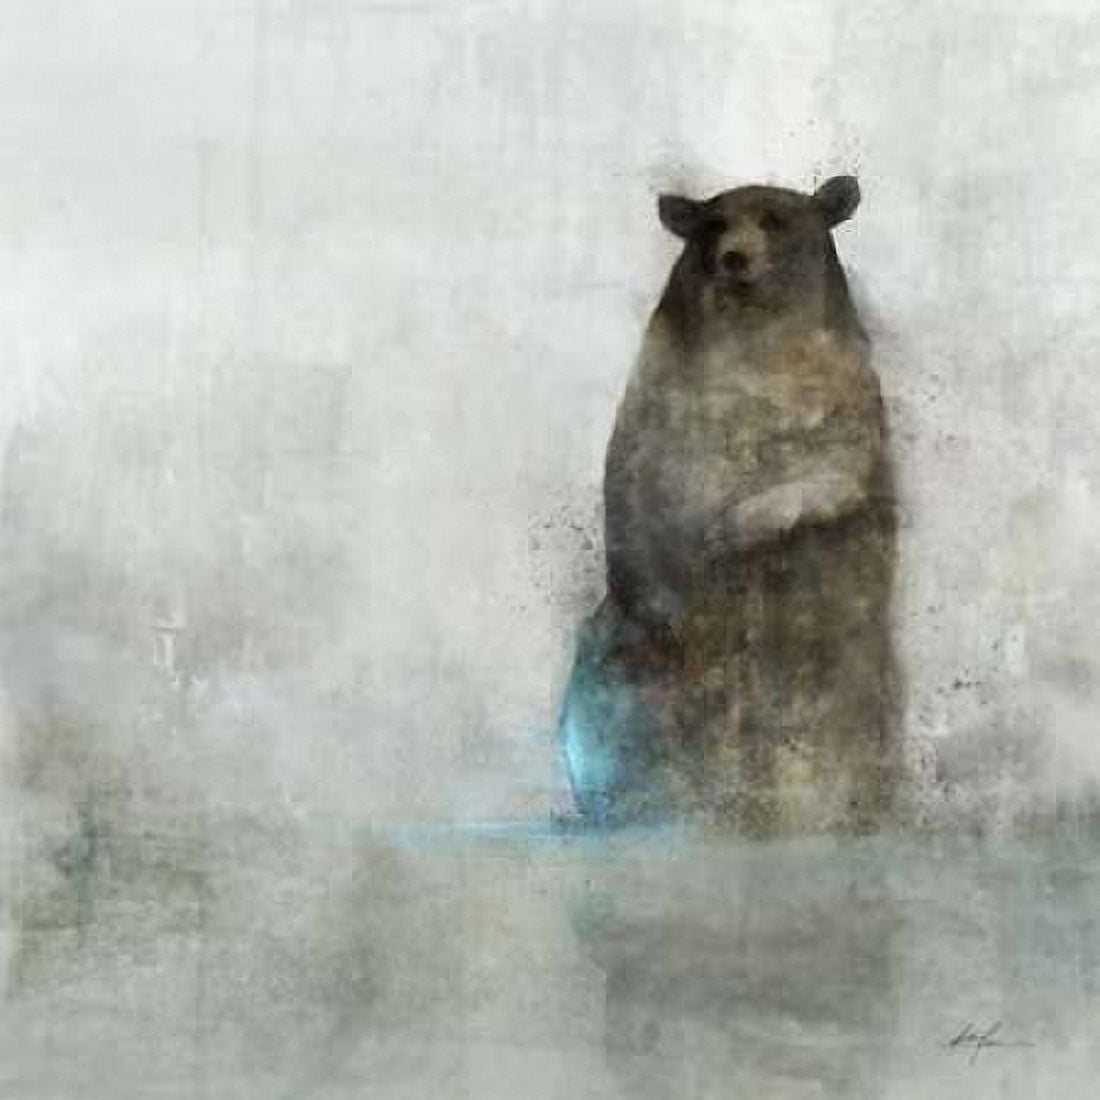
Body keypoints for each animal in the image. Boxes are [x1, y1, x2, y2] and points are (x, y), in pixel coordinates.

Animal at [559, 175, 899, 833]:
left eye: (775, 220)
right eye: (713, 225)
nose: (734, 258)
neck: (752, 344)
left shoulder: (843, 399)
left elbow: (833, 471)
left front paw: (732, 528)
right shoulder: (661, 397)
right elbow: (637, 485)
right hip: (619, 666)